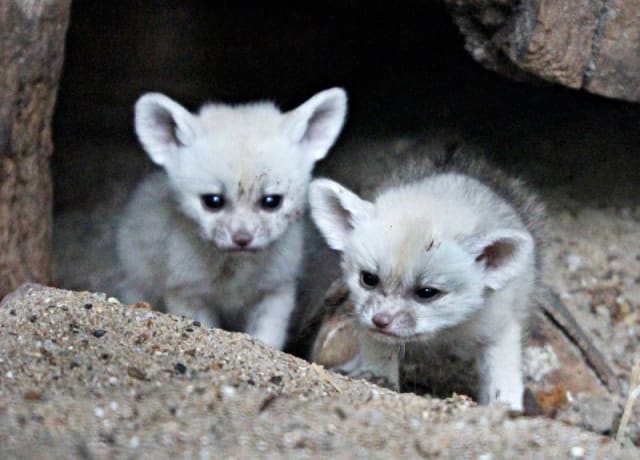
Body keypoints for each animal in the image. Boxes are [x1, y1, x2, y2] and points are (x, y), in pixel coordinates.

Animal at [116, 88, 347, 350]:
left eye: (271, 201)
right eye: (213, 201)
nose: (242, 239)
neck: (235, 274)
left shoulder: (276, 291)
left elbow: (266, 339)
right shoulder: (187, 293)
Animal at [308, 146, 544, 410]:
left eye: (427, 292)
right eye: (368, 278)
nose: (380, 321)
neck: (445, 333)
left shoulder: (500, 327)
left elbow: (503, 376)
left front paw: (505, 407)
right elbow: (380, 351)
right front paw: (378, 377)